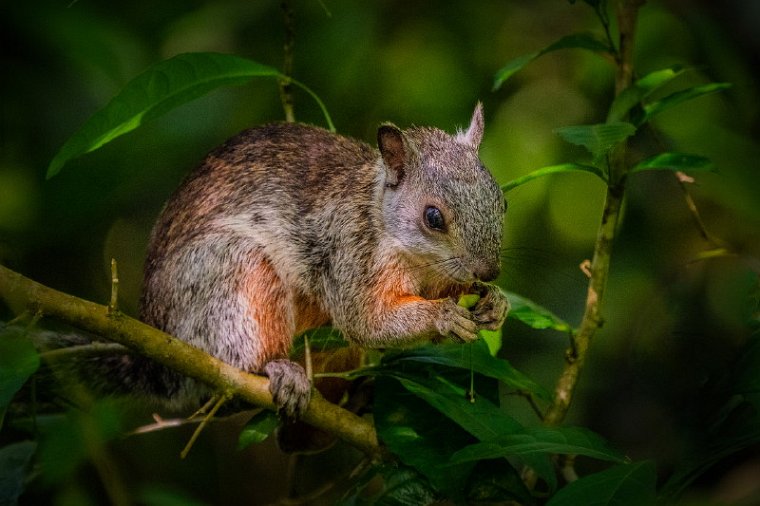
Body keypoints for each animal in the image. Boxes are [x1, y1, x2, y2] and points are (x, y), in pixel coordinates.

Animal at [133, 101, 508, 418]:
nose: (489, 271)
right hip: (225, 277)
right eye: (433, 217)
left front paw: (495, 304)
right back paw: (278, 368)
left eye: (502, 202)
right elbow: (365, 322)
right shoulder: (349, 252)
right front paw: (442, 315)